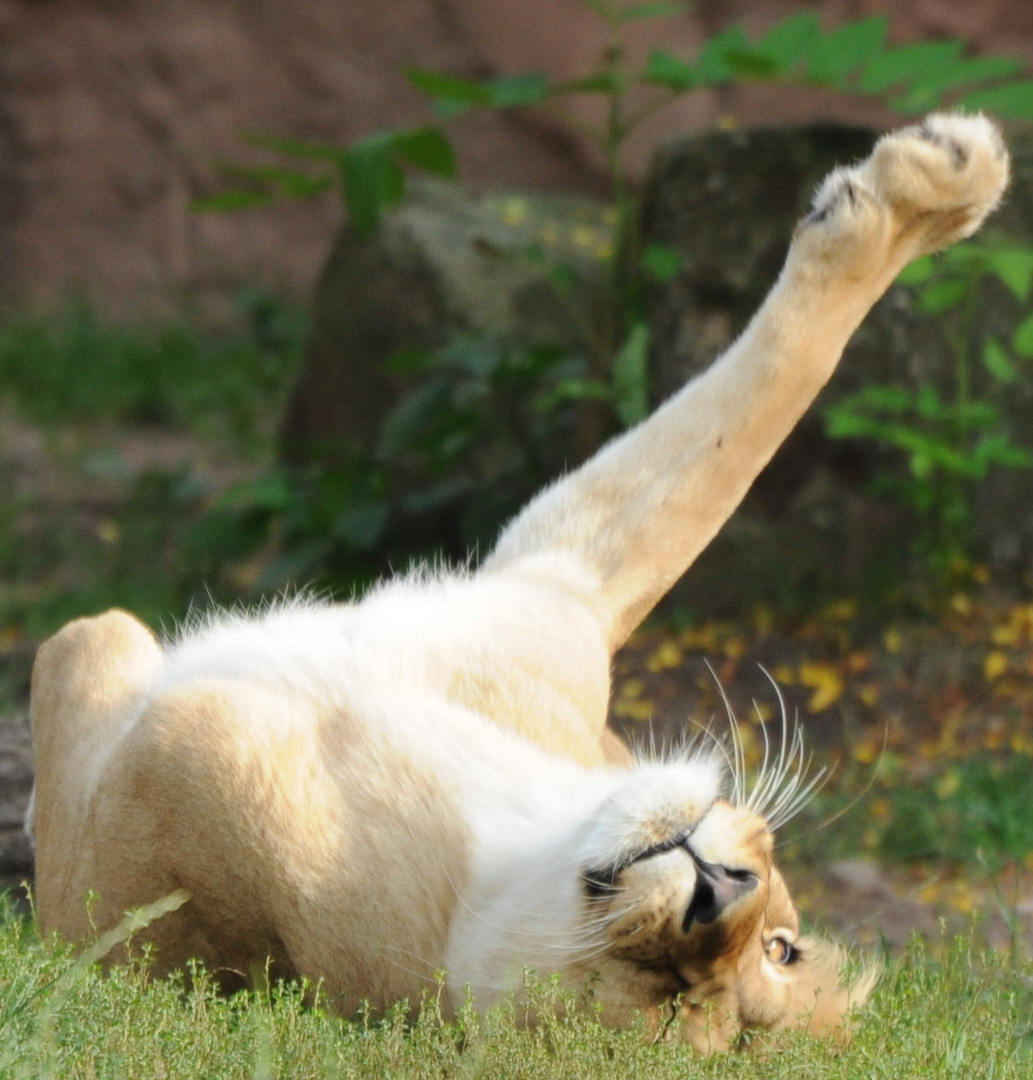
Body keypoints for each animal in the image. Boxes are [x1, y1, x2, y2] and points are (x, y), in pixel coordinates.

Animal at [28, 113, 1002, 1049]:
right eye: (781, 945)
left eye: (679, 1011)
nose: (720, 892)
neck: (498, 822)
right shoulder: (560, 587)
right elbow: (755, 410)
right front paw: (941, 181)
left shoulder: (113, 806)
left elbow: (79, 648)